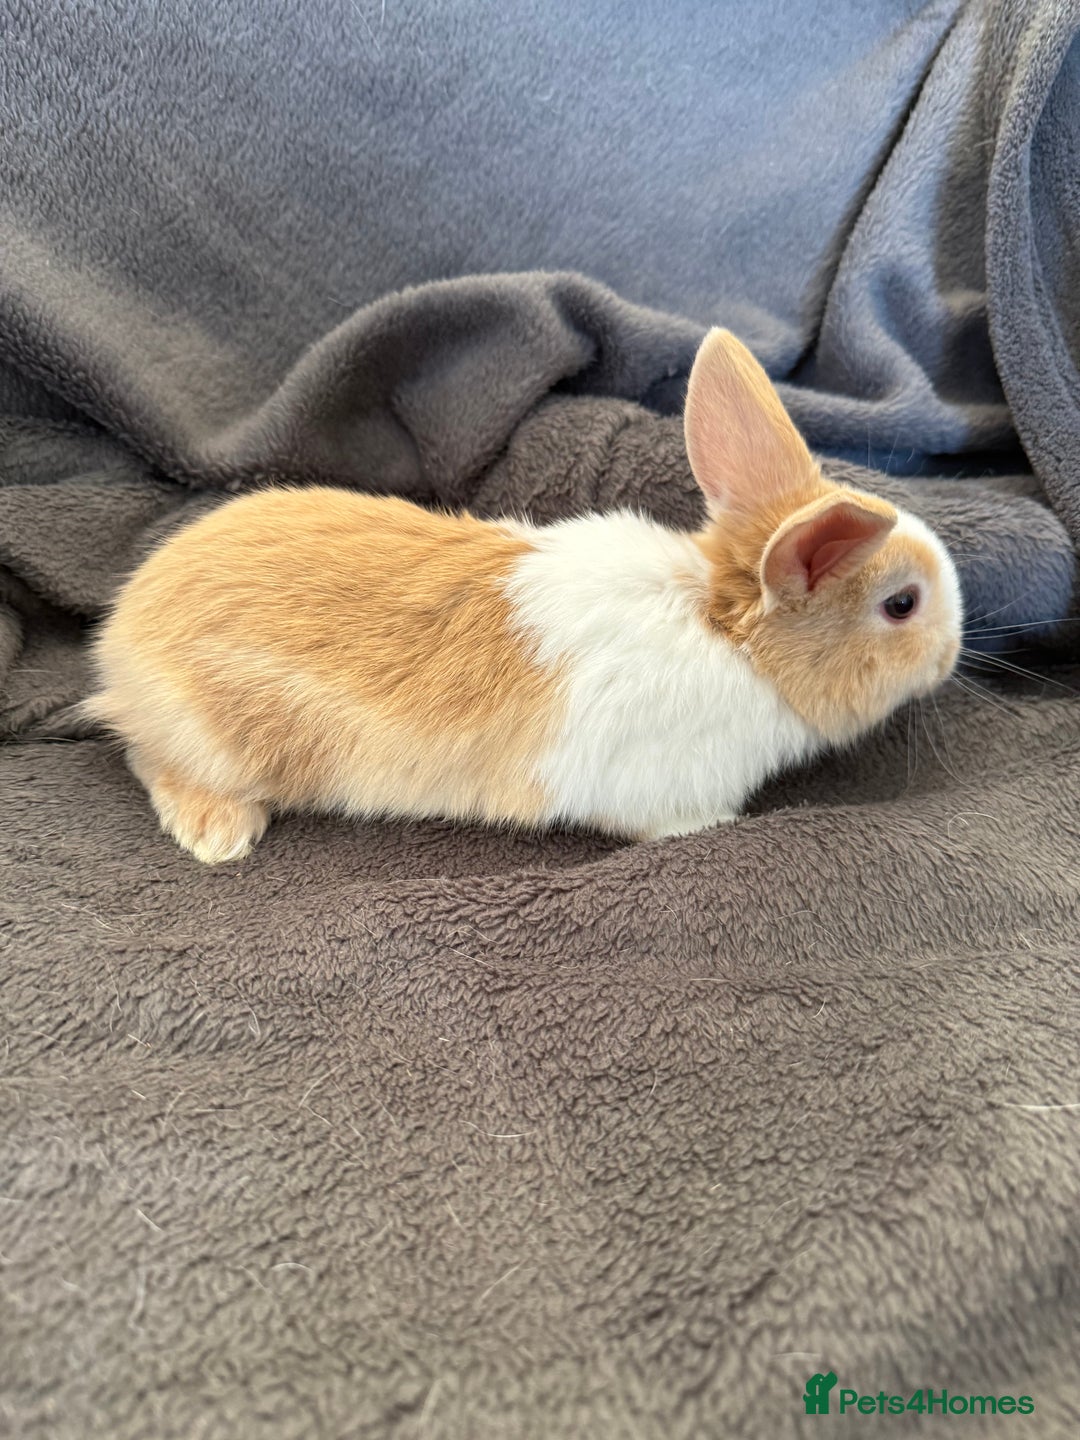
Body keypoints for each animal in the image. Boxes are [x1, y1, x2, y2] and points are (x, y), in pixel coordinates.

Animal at [86, 328, 962, 862]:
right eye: (902, 605)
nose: (954, 654)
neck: (731, 635)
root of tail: (119, 644)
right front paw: (722, 829)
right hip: (212, 741)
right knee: (149, 759)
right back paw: (219, 833)